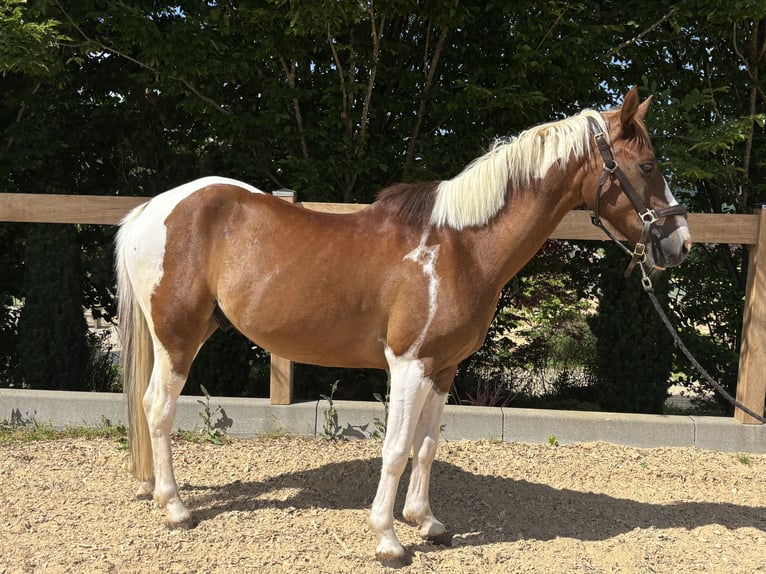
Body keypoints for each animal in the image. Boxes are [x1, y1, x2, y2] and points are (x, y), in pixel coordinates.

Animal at [115, 87, 691, 564]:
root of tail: (153, 209)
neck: (461, 246)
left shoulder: (443, 366)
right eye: (647, 165)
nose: (679, 243)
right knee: (157, 408)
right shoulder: (408, 365)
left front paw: (426, 522)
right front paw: (388, 540)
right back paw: (176, 508)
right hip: (178, 338)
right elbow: (394, 450)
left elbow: (427, 445)